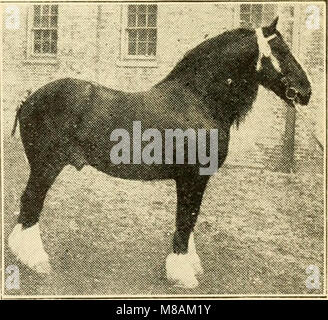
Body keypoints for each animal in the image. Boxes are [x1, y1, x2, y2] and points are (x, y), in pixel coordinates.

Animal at [7, 16, 310, 288]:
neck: (198, 100)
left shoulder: (193, 180)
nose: (306, 91)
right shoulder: (192, 177)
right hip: (46, 166)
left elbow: (189, 219)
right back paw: (35, 260)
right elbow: (186, 219)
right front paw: (182, 273)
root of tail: (30, 98)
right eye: (282, 51)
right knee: (31, 203)